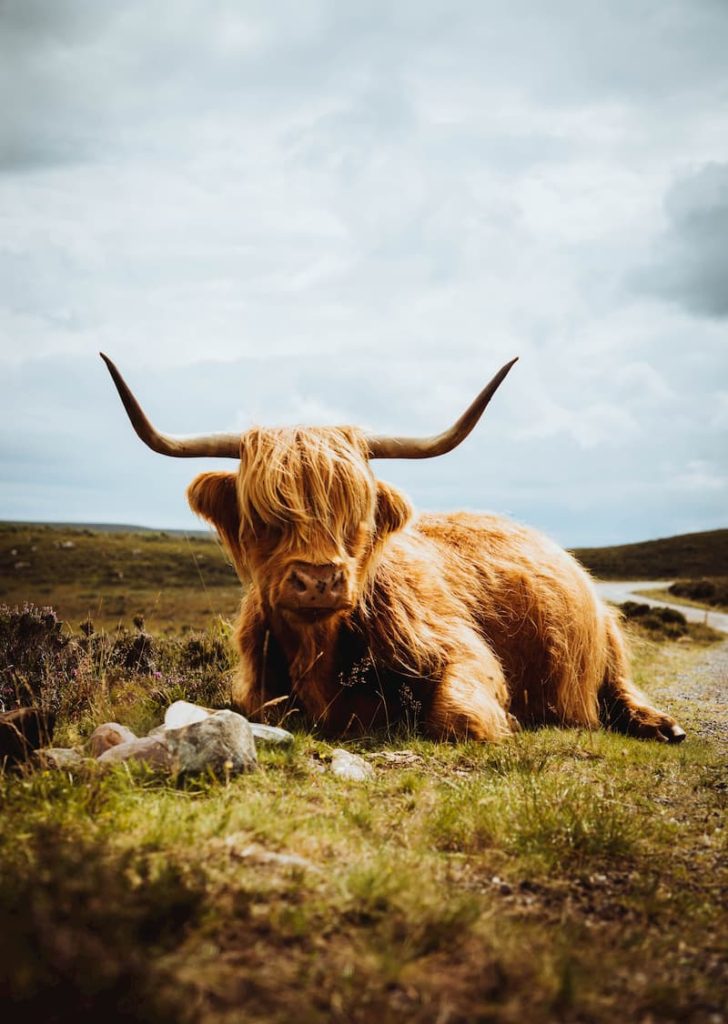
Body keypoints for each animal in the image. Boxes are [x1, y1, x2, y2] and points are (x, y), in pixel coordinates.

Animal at [102, 354, 688, 745]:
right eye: (266, 517)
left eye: (355, 515)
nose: (318, 580)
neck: (321, 654)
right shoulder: (256, 690)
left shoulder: (459, 649)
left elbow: (459, 717)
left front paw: (508, 720)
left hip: (607, 638)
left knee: (620, 688)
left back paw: (662, 725)